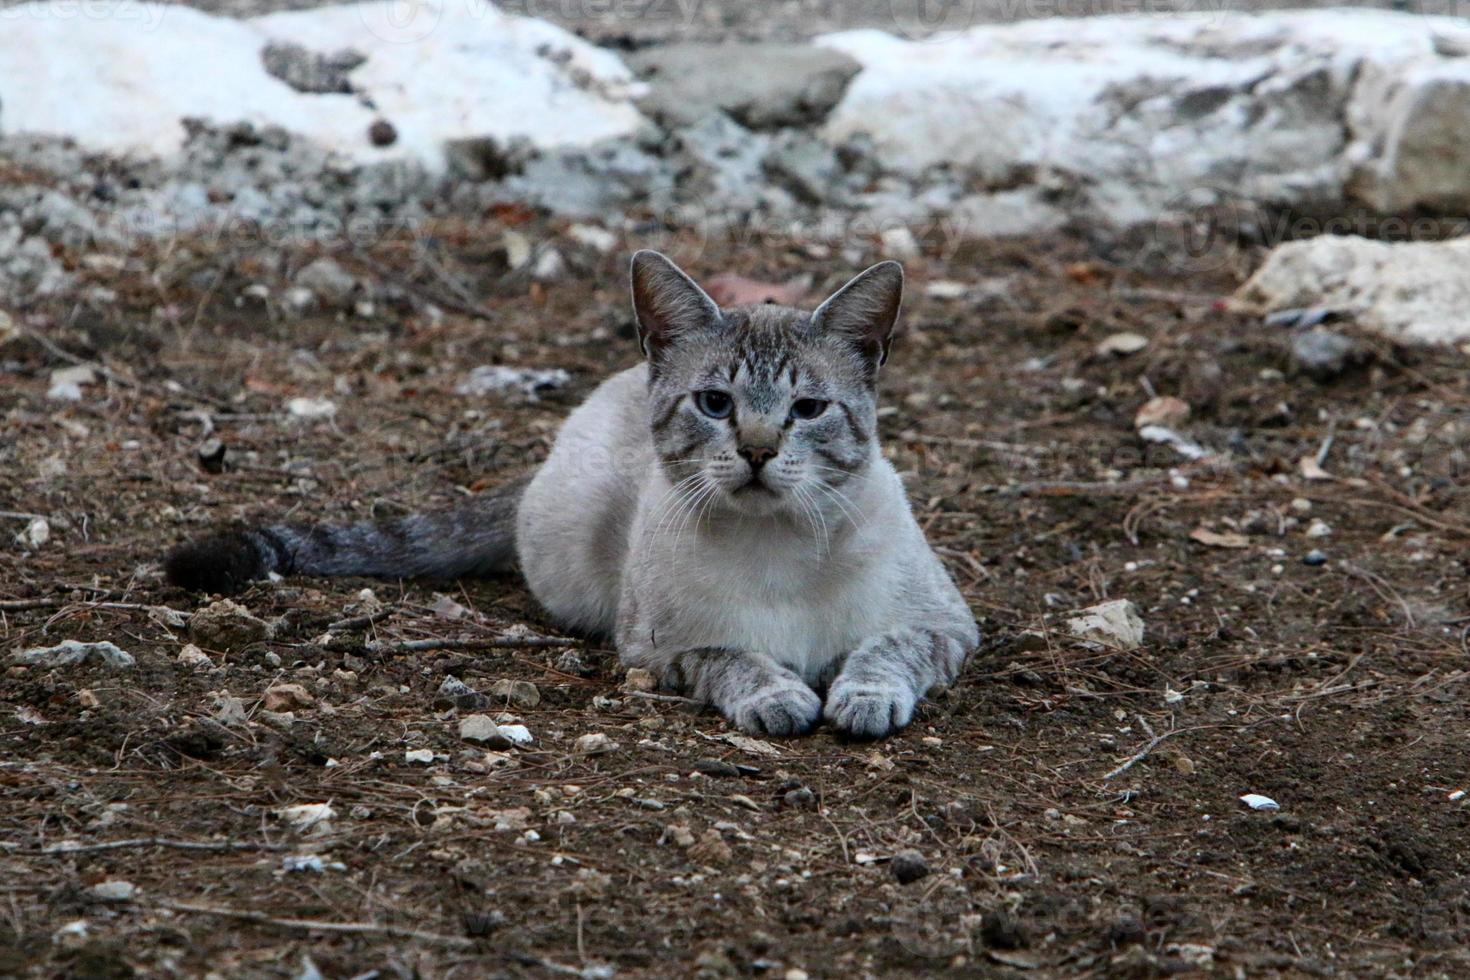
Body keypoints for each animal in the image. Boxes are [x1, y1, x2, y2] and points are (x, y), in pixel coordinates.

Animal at [166, 251, 981, 734]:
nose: (756, 452)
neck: (777, 544)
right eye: (715, 404)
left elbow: (889, 648)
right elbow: (736, 659)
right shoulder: (657, 649)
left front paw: (862, 698)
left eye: (808, 410)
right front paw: (779, 697)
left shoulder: (949, 628)